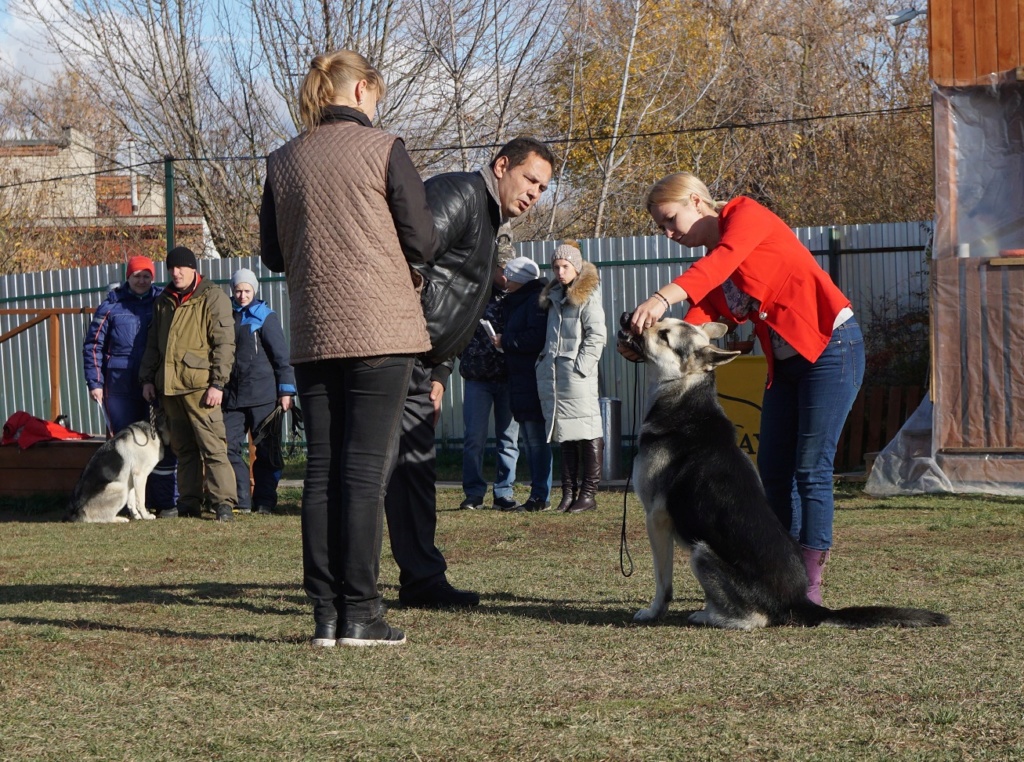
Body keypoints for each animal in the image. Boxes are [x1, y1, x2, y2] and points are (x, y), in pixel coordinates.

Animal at [610, 313, 946, 626]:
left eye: (663, 335)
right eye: (659, 321)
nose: (627, 316)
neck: (684, 398)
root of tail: (799, 601)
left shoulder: (656, 519)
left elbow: (663, 583)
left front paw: (653, 612)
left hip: (701, 553)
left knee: (754, 618)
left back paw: (709, 616)